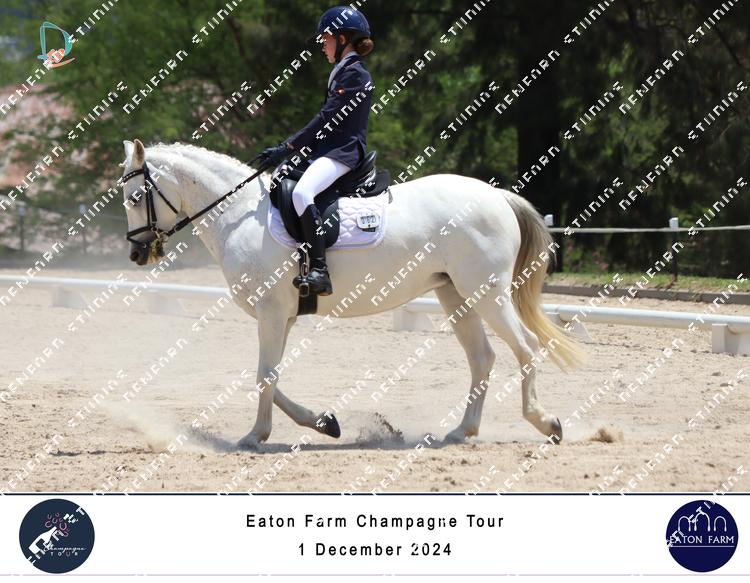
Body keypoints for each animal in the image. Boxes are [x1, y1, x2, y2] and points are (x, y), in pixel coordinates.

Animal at [120, 138, 585, 449]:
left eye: (137, 195)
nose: (137, 253)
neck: (240, 215)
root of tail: (497, 196)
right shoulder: (282, 316)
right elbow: (272, 376)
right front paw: (324, 422)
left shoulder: (271, 312)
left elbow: (264, 375)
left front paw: (254, 436)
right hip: (456, 296)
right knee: (482, 358)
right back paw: (460, 431)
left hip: (486, 293)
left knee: (526, 347)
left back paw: (546, 423)